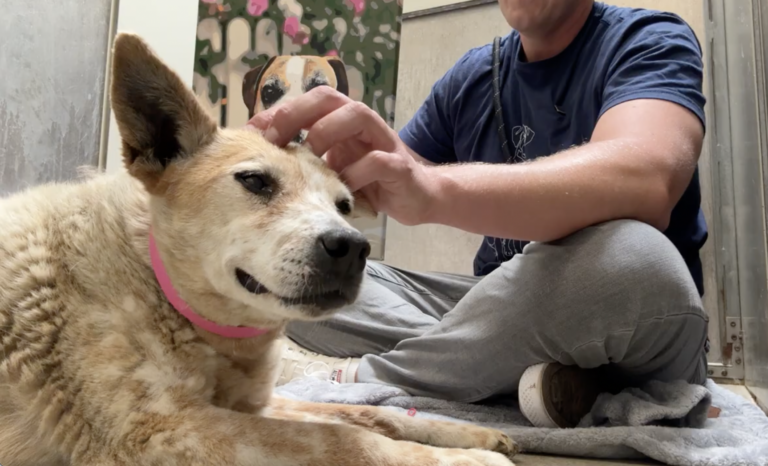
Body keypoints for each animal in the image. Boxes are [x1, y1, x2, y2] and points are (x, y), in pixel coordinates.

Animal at [0, 33, 520, 466]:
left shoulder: (258, 404)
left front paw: (470, 436)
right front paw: (468, 460)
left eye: (344, 205)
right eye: (254, 181)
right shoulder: (161, 430)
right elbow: (348, 440)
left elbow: (372, 416)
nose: (352, 248)